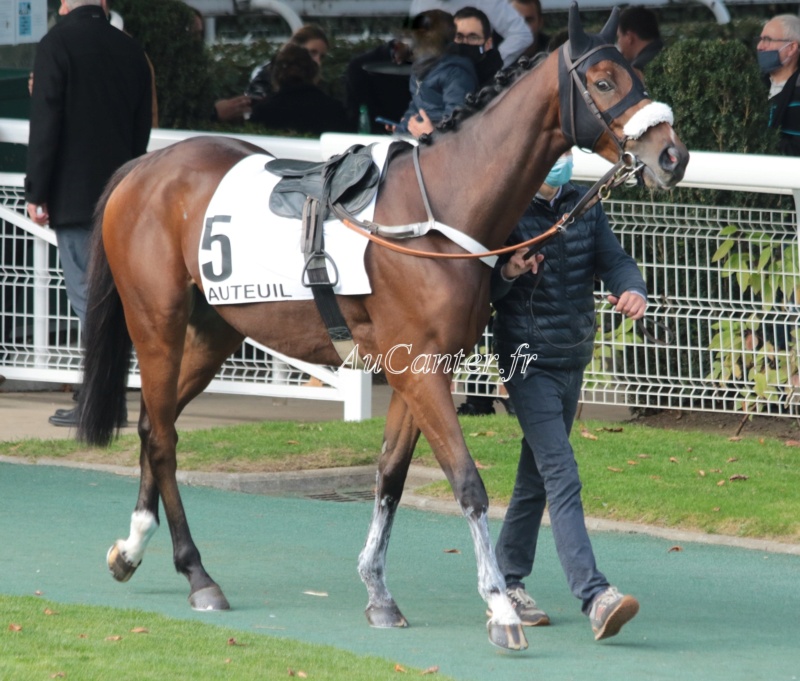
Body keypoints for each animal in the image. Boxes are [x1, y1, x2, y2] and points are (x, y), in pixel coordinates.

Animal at [73, 6, 688, 652]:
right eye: (603, 82)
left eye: (638, 76)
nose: (673, 156)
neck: (439, 210)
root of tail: (144, 167)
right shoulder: (420, 371)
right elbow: (467, 482)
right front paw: (500, 608)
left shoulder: (418, 370)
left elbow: (391, 474)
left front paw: (378, 593)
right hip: (157, 324)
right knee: (164, 435)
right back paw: (198, 574)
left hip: (213, 332)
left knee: (152, 425)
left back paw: (132, 549)